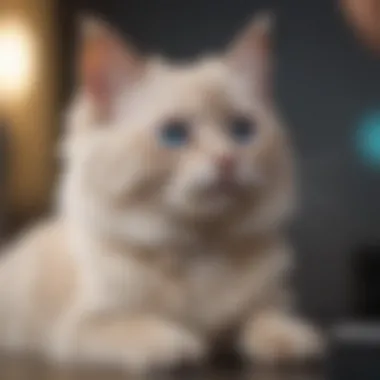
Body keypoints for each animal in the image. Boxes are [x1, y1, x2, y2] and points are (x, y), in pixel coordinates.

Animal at [0, 12, 324, 374]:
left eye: (242, 130)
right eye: (174, 134)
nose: (227, 160)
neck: (198, 252)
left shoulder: (267, 302)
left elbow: (263, 317)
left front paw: (290, 338)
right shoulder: (82, 327)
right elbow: (137, 328)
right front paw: (177, 344)